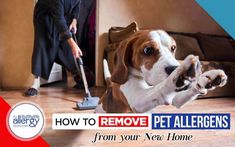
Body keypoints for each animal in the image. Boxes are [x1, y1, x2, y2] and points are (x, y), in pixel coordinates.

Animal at [95, 29, 228, 112]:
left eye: (173, 48)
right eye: (147, 50)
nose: (174, 68)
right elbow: (161, 87)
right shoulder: (138, 100)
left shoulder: (176, 99)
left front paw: (206, 79)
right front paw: (179, 74)